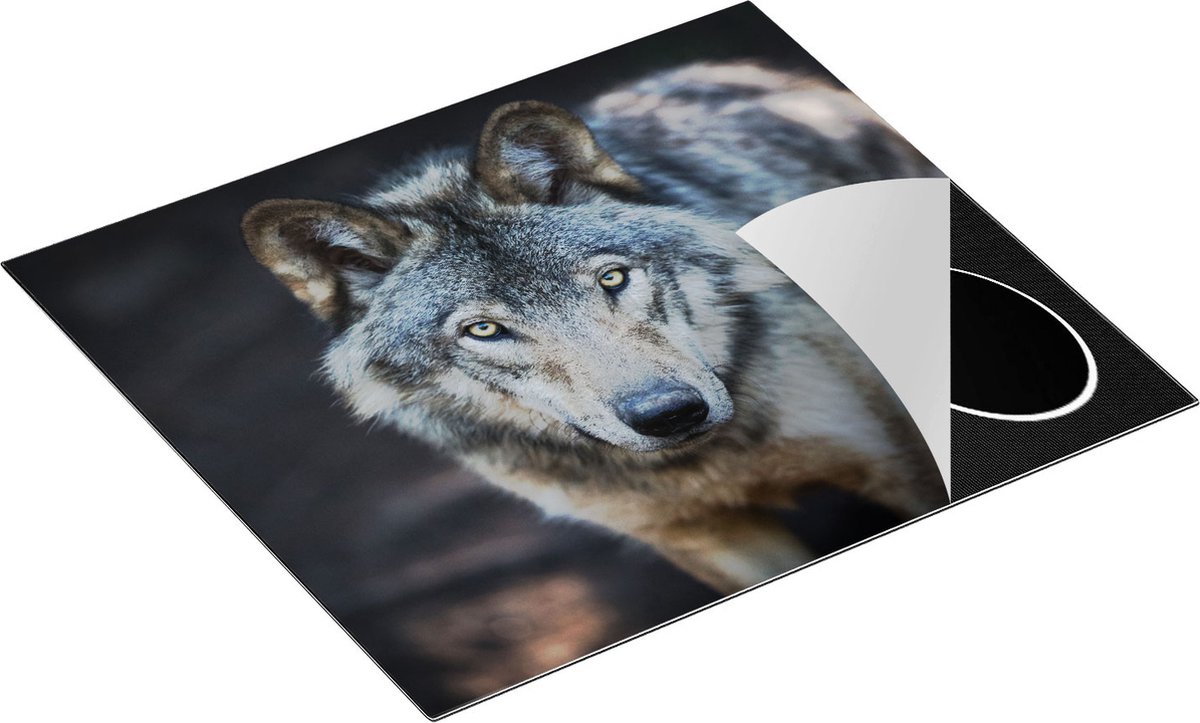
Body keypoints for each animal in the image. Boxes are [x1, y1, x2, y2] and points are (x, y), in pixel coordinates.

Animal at [242, 62, 948, 594]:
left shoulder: (896, 462)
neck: (704, 463)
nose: (669, 414)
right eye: (483, 331)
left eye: (612, 279)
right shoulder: (704, 539)